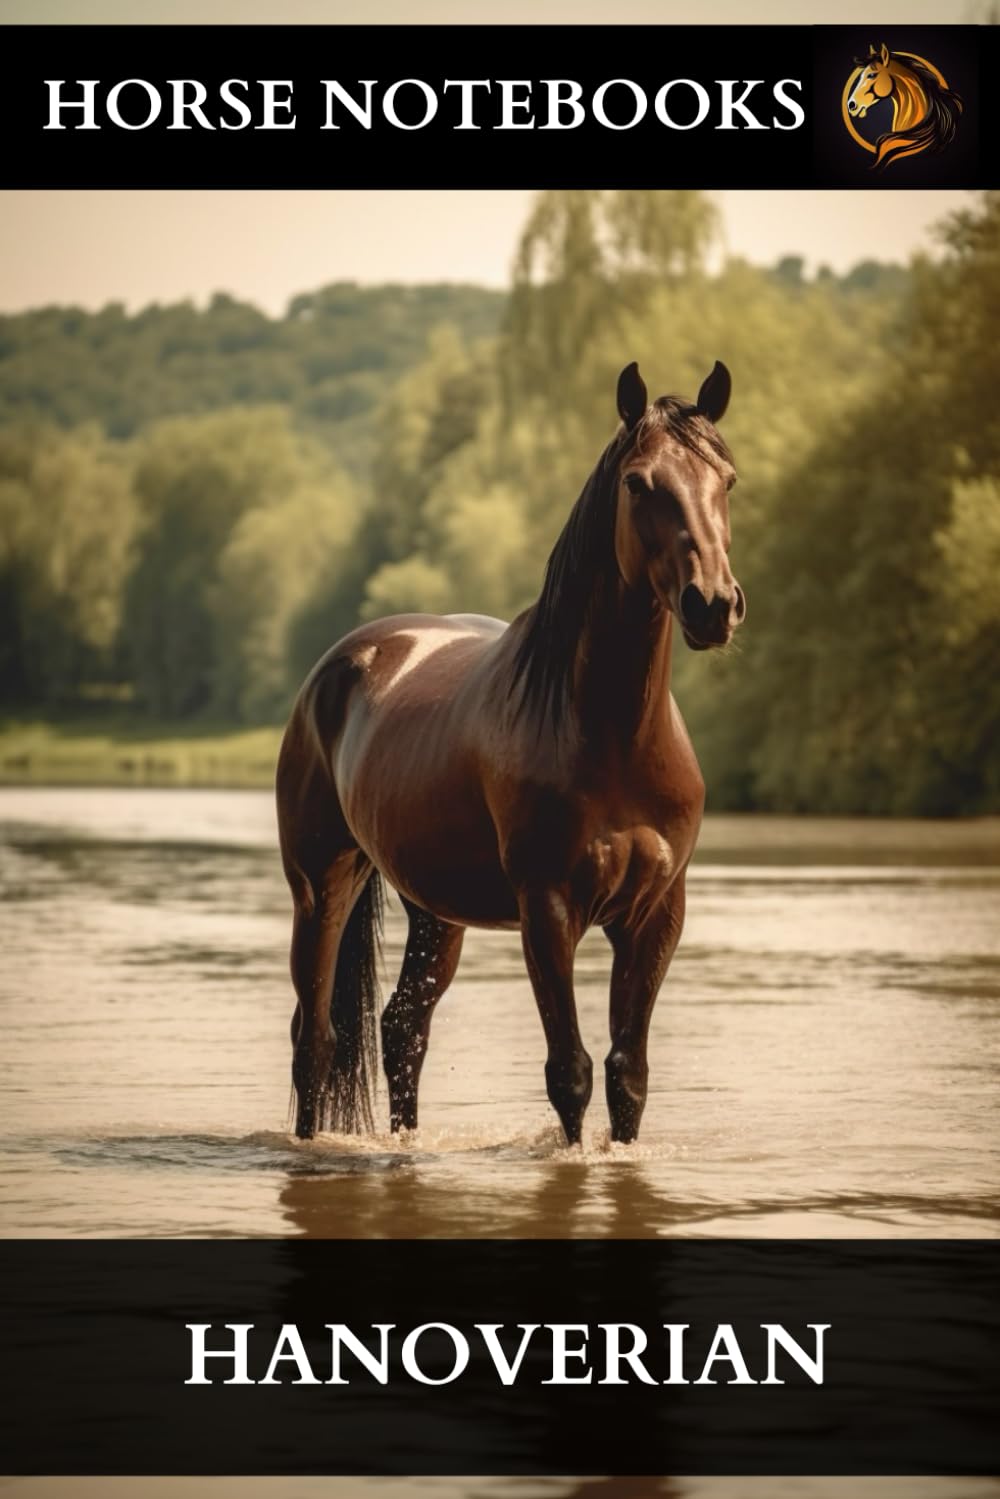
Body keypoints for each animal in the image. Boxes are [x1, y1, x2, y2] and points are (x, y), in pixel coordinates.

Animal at [276, 360, 744, 1147]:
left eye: (728, 480)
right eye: (638, 482)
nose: (714, 603)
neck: (611, 733)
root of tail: (342, 662)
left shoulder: (655, 915)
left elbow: (629, 1075)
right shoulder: (547, 910)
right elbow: (571, 1072)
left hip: (435, 911)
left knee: (402, 1030)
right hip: (321, 888)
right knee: (315, 1040)